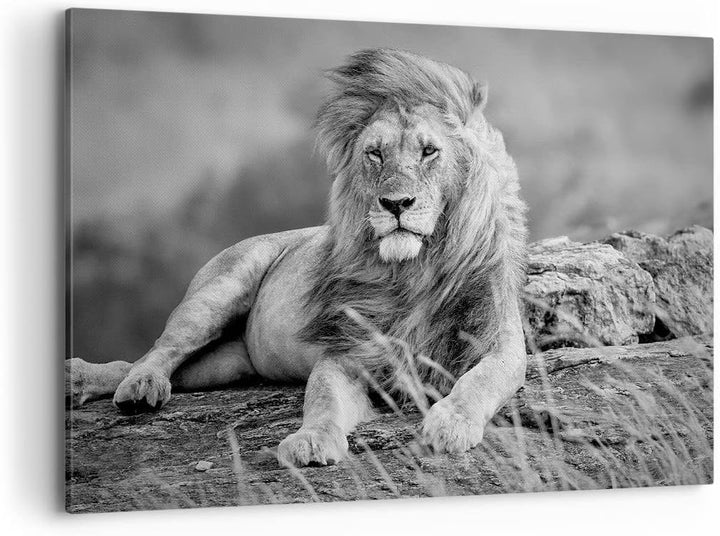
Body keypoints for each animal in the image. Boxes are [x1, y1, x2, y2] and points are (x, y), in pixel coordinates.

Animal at [66, 48, 528, 467]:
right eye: (375, 153)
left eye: (429, 151)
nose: (396, 203)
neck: (414, 270)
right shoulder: (346, 352)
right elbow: (321, 399)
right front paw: (310, 441)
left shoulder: (500, 343)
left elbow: (480, 381)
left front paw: (451, 424)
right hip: (217, 293)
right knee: (157, 351)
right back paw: (132, 385)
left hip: (225, 364)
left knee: (159, 365)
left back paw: (87, 381)